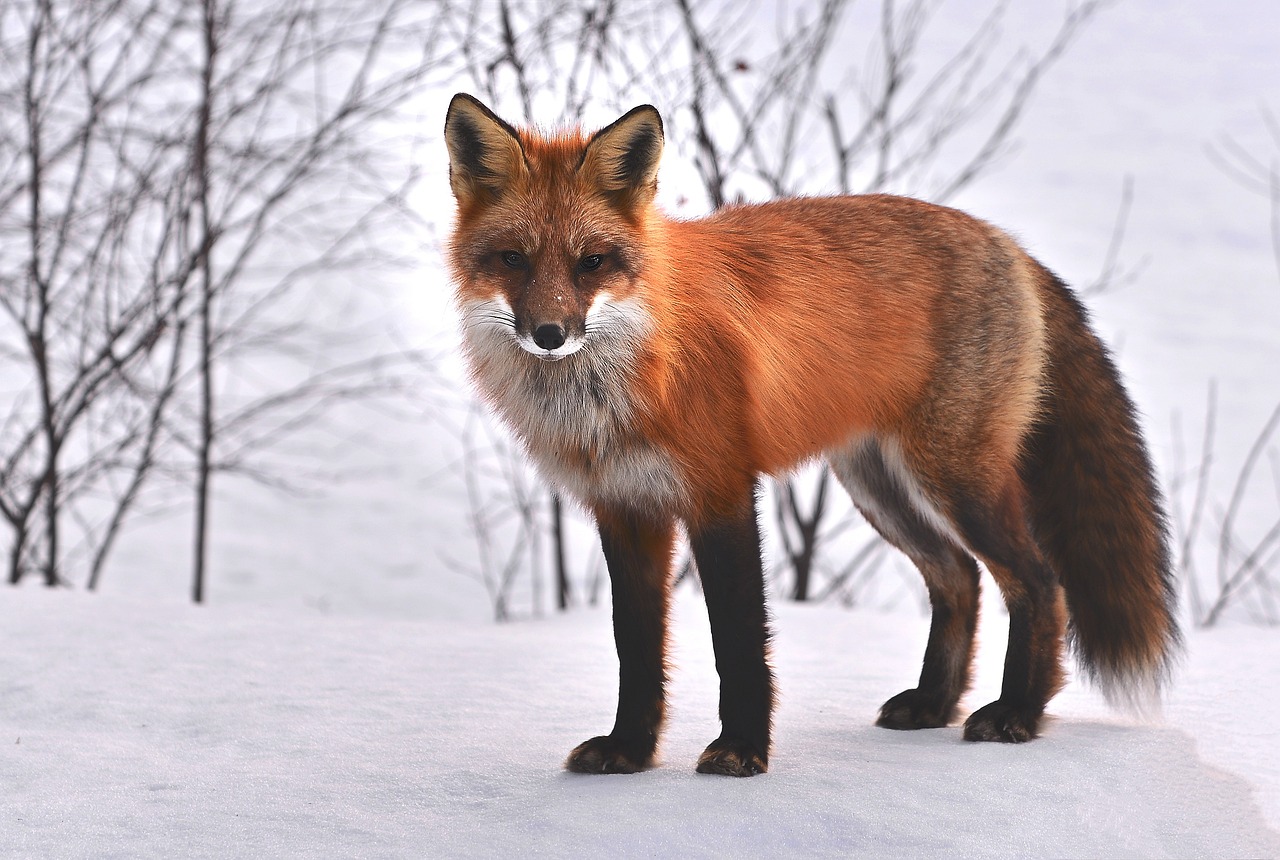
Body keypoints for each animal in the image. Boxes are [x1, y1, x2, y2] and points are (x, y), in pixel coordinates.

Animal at [442, 92, 1180, 777]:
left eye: (591, 262)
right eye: (512, 259)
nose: (549, 334)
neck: (629, 374)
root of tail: (1008, 243)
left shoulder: (721, 493)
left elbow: (738, 641)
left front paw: (742, 750)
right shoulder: (625, 509)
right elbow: (637, 649)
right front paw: (629, 750)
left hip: (954, 479)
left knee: (1039, 581)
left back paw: (1018, 713)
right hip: (879, 486)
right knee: (959, 577)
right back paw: (934, 704)